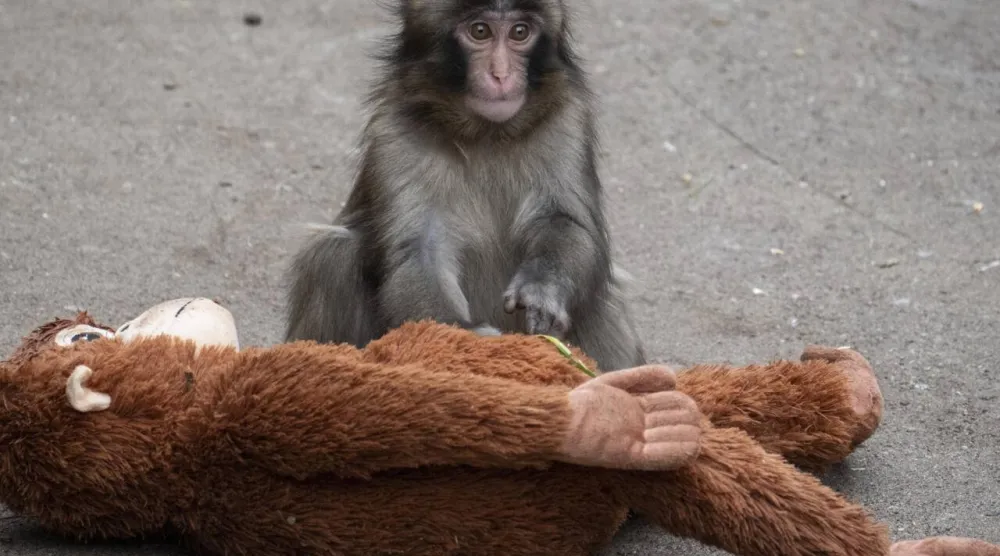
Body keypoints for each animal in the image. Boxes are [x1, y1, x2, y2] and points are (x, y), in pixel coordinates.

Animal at [284, 0, 646, 372]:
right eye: (480, 31)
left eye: (520, 32)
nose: (501, 75)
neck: (486, 134)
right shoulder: (395, 133)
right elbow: (422, 249)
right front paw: (466, 339)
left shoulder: (566, 120)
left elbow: (564, 222)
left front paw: (542, 288)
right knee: (333, 255)